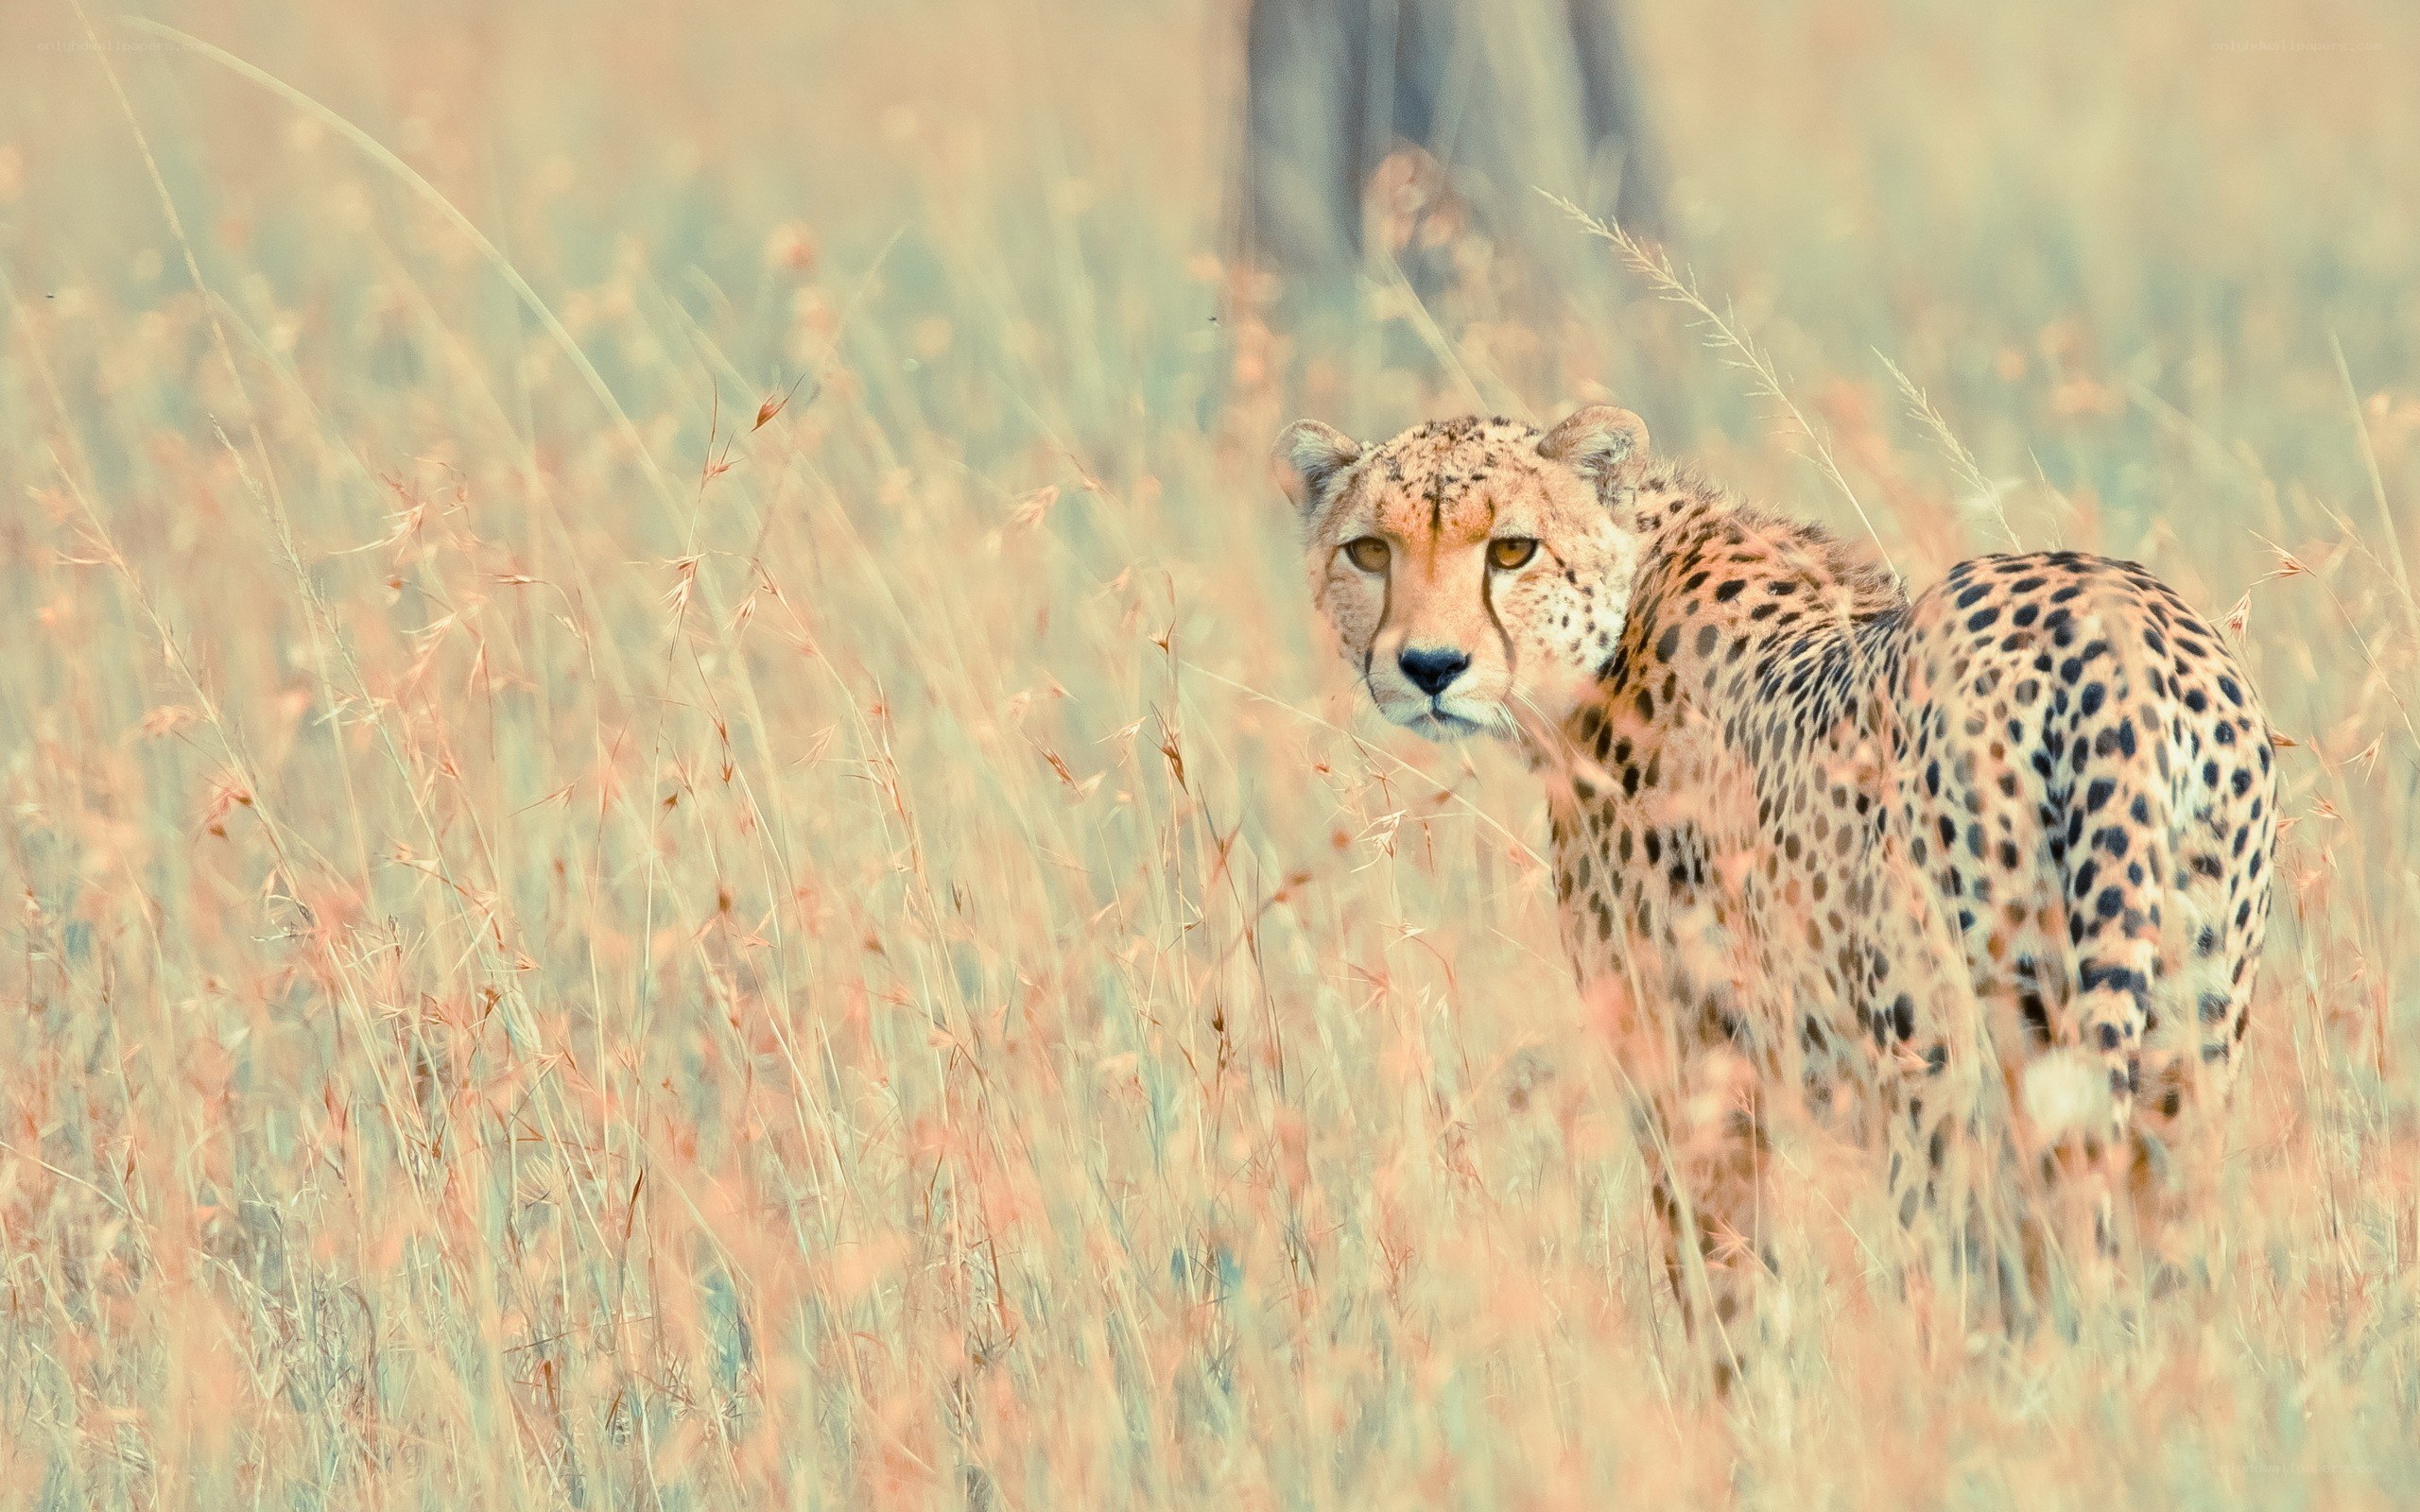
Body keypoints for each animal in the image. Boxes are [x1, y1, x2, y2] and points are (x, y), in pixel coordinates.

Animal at [1275, 405, 2279, 1368]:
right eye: (1370, 550)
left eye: (1512, 549)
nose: (1429, 669)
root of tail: (2114, 623)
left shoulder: (1694, 1076)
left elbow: (1727, 1302)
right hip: (2187, 1045)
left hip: (1946, 1065)